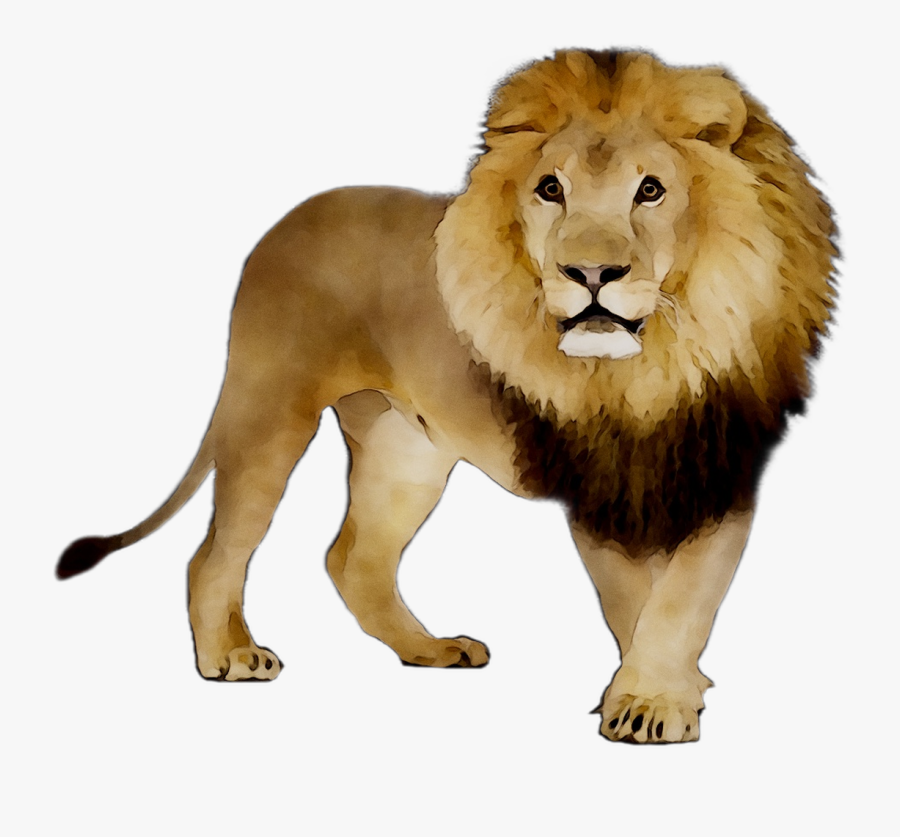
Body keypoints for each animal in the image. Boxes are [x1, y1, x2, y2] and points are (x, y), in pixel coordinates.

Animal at [57, 50, 836, 743]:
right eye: (550, 189)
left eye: (651, 189)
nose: (590, 274)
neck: (650, 368)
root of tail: (283, 224)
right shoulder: (592, 480)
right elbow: (635, 598)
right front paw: (648, 702)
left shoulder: (719, 469)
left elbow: (682, 598)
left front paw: (662, 691)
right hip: (270, 409)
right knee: (218, 549)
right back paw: (228, 654)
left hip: (407, 449)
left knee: (354, 560)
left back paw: (429, 650)